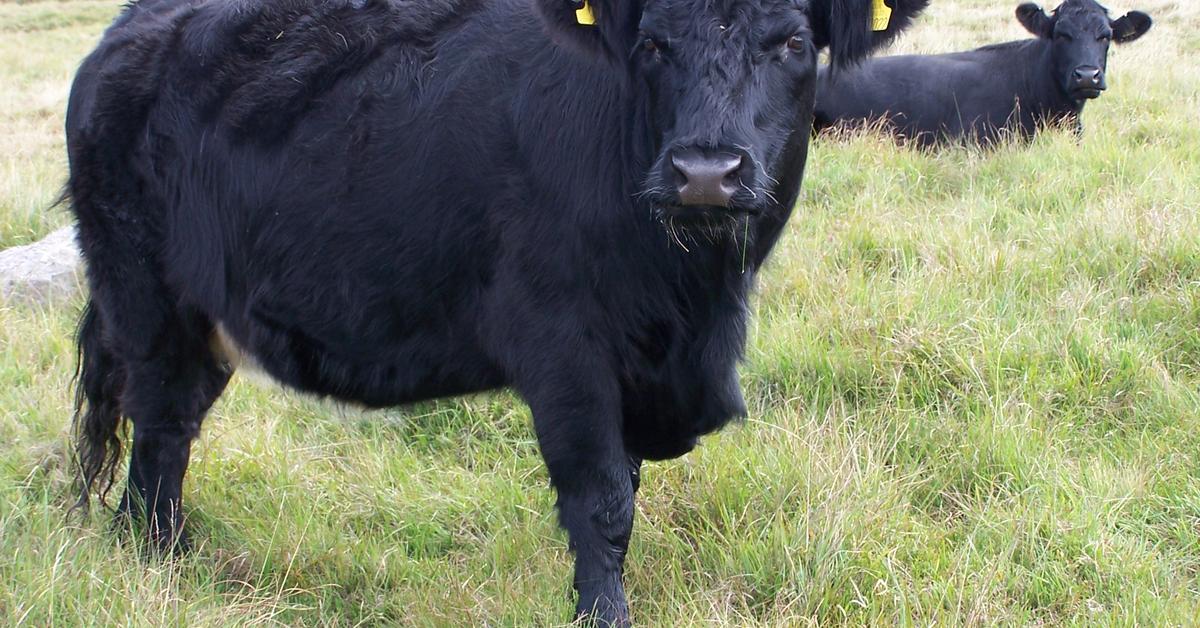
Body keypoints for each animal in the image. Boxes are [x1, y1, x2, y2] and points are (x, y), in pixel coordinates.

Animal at [63, 0, 926, 624]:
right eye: (652, 45)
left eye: (793, 43)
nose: (706, 172)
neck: (695, 305)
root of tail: (131, 27)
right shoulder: (562, 346)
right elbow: (602, 500)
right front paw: (602, 615)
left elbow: (626, 490)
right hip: (145, 295)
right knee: (160, 422)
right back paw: (158, 558)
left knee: (172, 425)